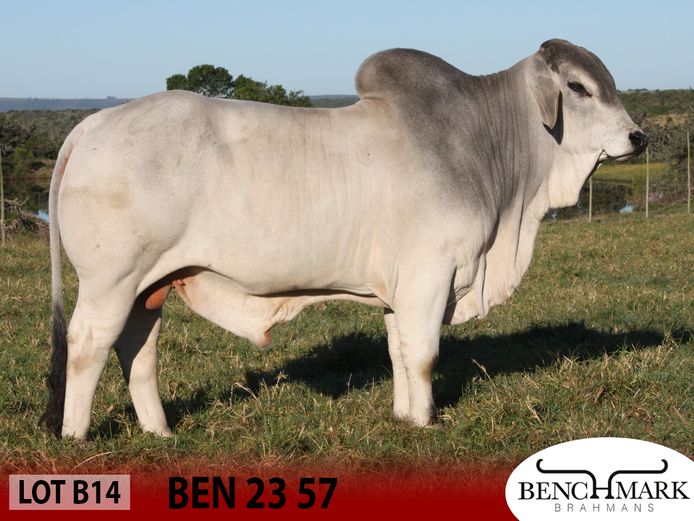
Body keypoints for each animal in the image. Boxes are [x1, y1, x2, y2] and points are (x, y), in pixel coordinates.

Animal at [42, 39, 647, 439]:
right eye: (578, 88)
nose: (638, 137)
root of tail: (92, 125)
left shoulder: (400, 290)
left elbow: (399, 351)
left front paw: (405, 417)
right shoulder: (430, 275)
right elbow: (424, 354)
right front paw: (426, 424)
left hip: (150, 286)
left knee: (136, 348)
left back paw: (160, 433)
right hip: (111, 281)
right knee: (89, 344)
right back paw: (76, 437)